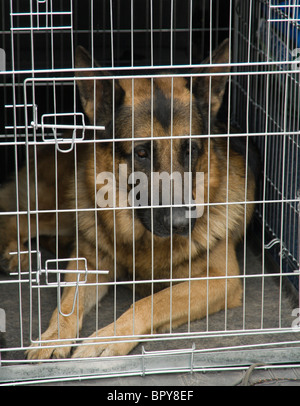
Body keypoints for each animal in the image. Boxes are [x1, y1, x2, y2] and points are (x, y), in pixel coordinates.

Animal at [0, 39, 255, 358]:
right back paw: (15, 252)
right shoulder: (89, 262)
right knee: (18, 217)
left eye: (191, 151)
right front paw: (54, 337)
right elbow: (68, 304)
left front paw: (105, 339)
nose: (183, 224)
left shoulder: (219, 280)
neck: (144, 241)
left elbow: (148, 303)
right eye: (141, 153)